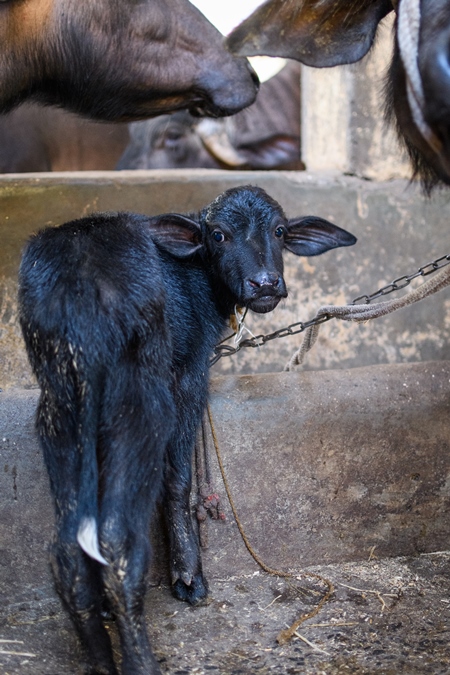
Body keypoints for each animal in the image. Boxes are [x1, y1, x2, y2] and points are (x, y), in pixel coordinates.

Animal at [17, 186, 356, 675]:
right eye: (218, 234)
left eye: (278, 231)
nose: (265, 283)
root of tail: (75, 285)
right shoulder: (190, 374)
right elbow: (177, 480)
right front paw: (189, 577)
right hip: (140, 405)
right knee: (116, 538)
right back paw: (141, 660)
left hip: (59, 407)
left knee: (66, 551)